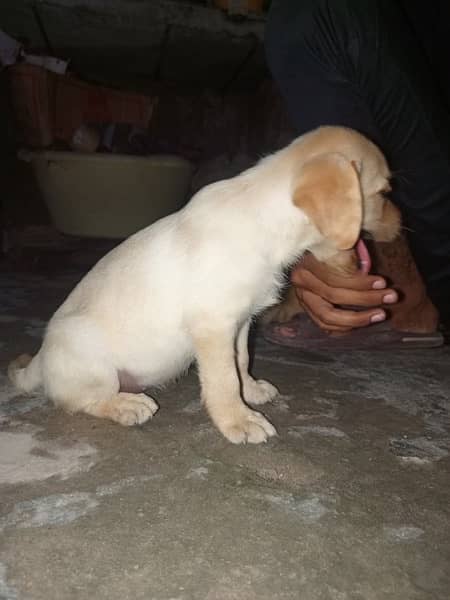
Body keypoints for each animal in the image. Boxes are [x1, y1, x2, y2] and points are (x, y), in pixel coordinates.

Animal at [8, 127, 400, 446]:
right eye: (383, 192)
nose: (401, 227)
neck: (265, 221)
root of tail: (40, 360)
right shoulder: (213, 326)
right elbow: (224, 379)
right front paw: (238, 421)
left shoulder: (240, 323)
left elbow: (241, 362)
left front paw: (251, 391)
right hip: (92, 360)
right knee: (82, 400)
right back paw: (127, 405)